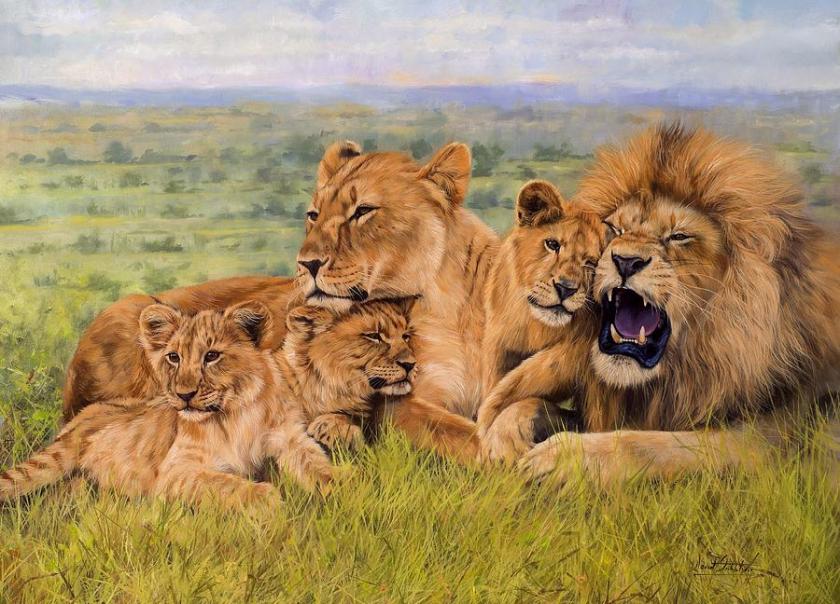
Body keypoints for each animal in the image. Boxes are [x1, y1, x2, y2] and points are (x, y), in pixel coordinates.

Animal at [64, 141, 498, 464]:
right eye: (313, 215)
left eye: (363, 211)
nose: (307, 263)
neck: (445, 303)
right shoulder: (397, 404)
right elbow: (472, 439)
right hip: (130, 311)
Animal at [476, 180, 605, 463]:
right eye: (552, 244)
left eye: (591, 262)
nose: (566, 288)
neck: (534, 327)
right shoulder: (498, 348)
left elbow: (522, 382)